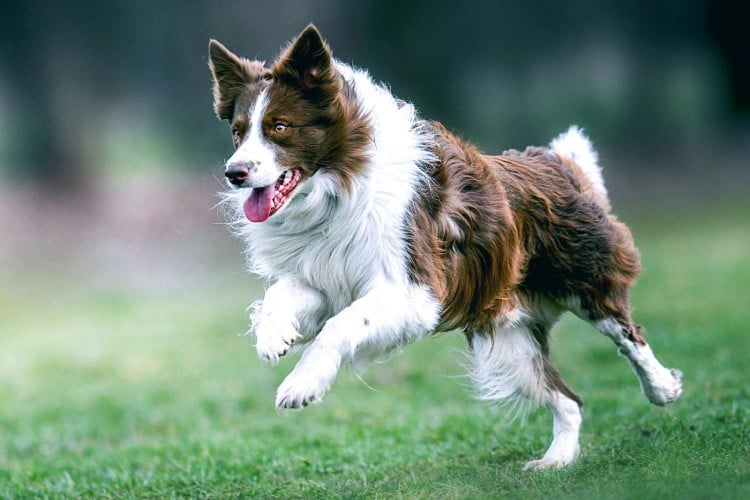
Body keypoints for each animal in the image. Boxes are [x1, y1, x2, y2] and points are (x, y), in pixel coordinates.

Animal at [209, 23, 684, 468]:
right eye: (238, 133)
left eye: (280, 127)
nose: (234, 172)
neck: (338, 183)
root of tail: (554, 161)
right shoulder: (327, 276)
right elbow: (282, 294)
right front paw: (274, 336)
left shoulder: (414, 289)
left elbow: (341, 326)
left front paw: (301, 385)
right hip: (508, 337)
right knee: (568, 399)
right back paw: (556, 461)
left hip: (584, 279)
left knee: (627, 334)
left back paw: (664, 387)